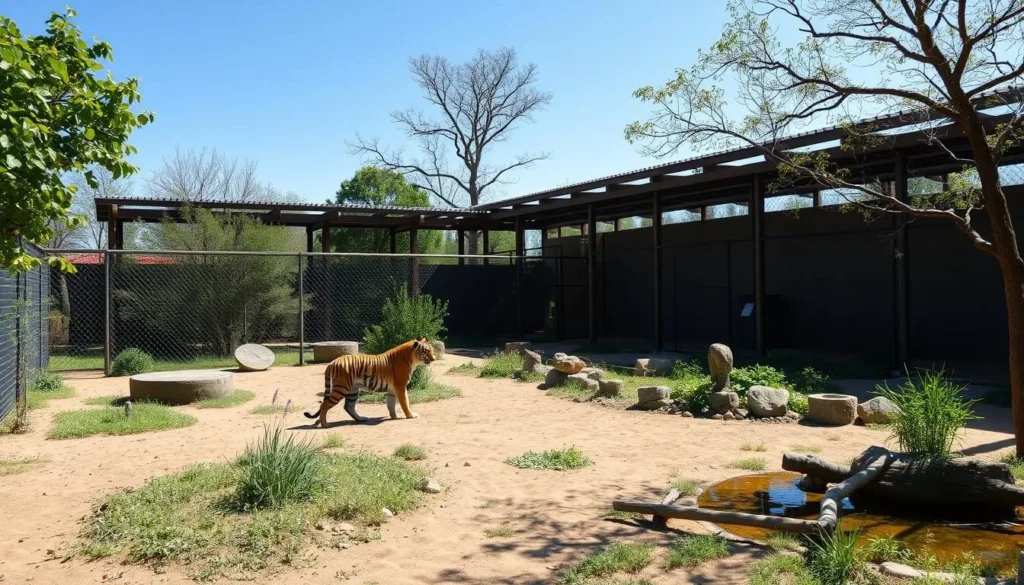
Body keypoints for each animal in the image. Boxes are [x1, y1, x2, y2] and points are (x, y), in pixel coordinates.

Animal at [303, 338, 436, 427]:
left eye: (432, 350)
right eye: (426, 351)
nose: (434, 358)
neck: (411, 359)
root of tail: (332, 363)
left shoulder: (392, 390)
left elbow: (391, 405)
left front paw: (395, 416)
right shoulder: (400, 387)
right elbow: (405, 402)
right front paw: (410, 415)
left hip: (353, 390)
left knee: (348, 407)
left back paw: (360, 419)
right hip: (341, 388)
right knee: (324, 405)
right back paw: (324, 424)